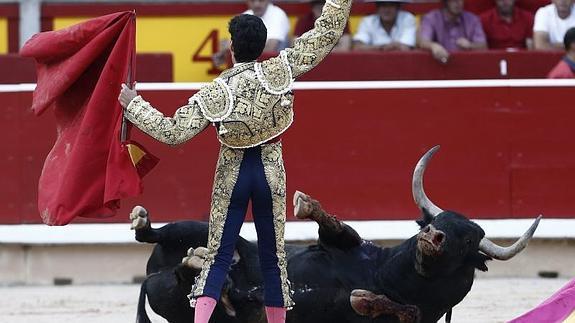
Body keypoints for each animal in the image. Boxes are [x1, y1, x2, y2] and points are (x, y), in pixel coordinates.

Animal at [134, 147, 540, 323]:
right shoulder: (340, 245)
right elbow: (337, 228)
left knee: (181, 281)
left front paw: (364, 298)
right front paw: (305, 204)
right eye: (436, 220)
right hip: (195, 228)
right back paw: (150, 226)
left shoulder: (418, 316)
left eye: (469, 240)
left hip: (174, 301)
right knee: (158, 237)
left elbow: (393, 308)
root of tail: (150, 274)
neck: (386, 277)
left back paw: (198, 265)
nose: (433, 234)